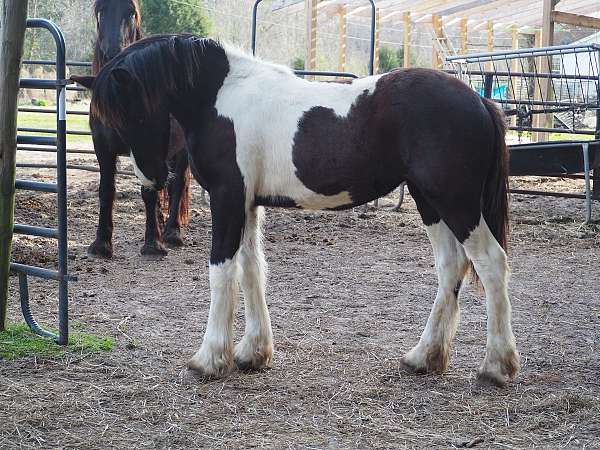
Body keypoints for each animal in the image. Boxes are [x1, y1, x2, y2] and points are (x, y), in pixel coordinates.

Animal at [78, 35, 520, 386]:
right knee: (452, 267)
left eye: (133, 110)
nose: (153, 177)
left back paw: (496, 366)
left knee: (491, 264)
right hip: (430, 201)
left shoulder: (226, 197)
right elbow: (252, 269)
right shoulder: (247, 202)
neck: (221, 95)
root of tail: (480, 101)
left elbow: (222, 272)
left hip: (455, 202)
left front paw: (209, 359)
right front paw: (252, 353)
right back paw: (423, 358)